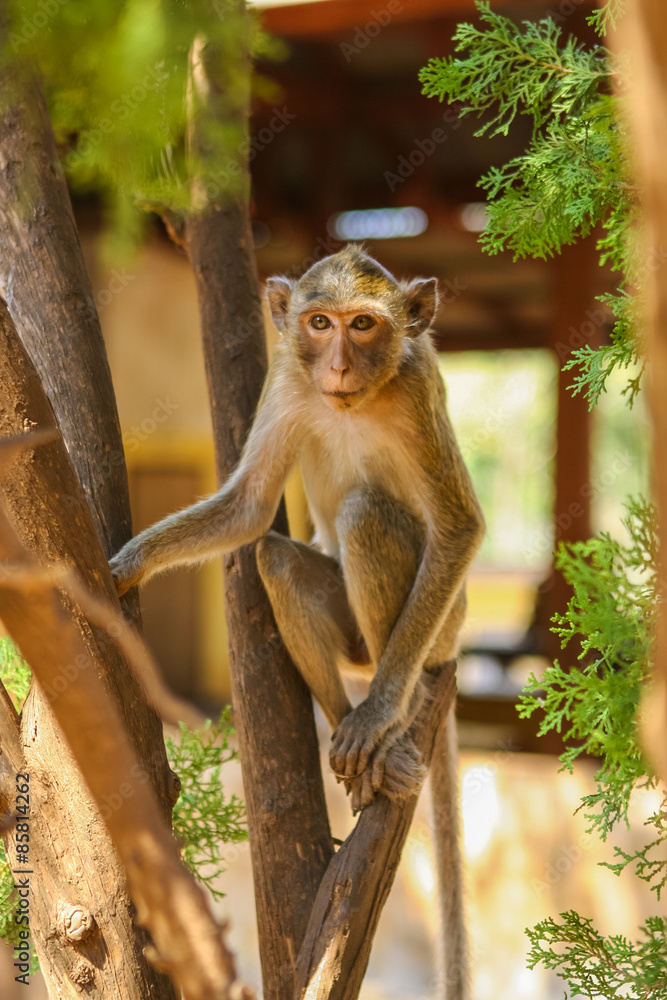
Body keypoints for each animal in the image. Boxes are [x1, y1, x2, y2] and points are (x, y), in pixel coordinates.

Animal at [110, 244, 484, 999]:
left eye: (363, 325)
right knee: (278, 560)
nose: (336, 365)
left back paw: (391, 719)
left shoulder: (418, 384)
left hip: (436, 626)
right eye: (319, 323)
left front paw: (380, 717)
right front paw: (129, 564)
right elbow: (250, 509)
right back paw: (349, 729)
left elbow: (459, 526)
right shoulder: (286, 379)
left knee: (365, 516)